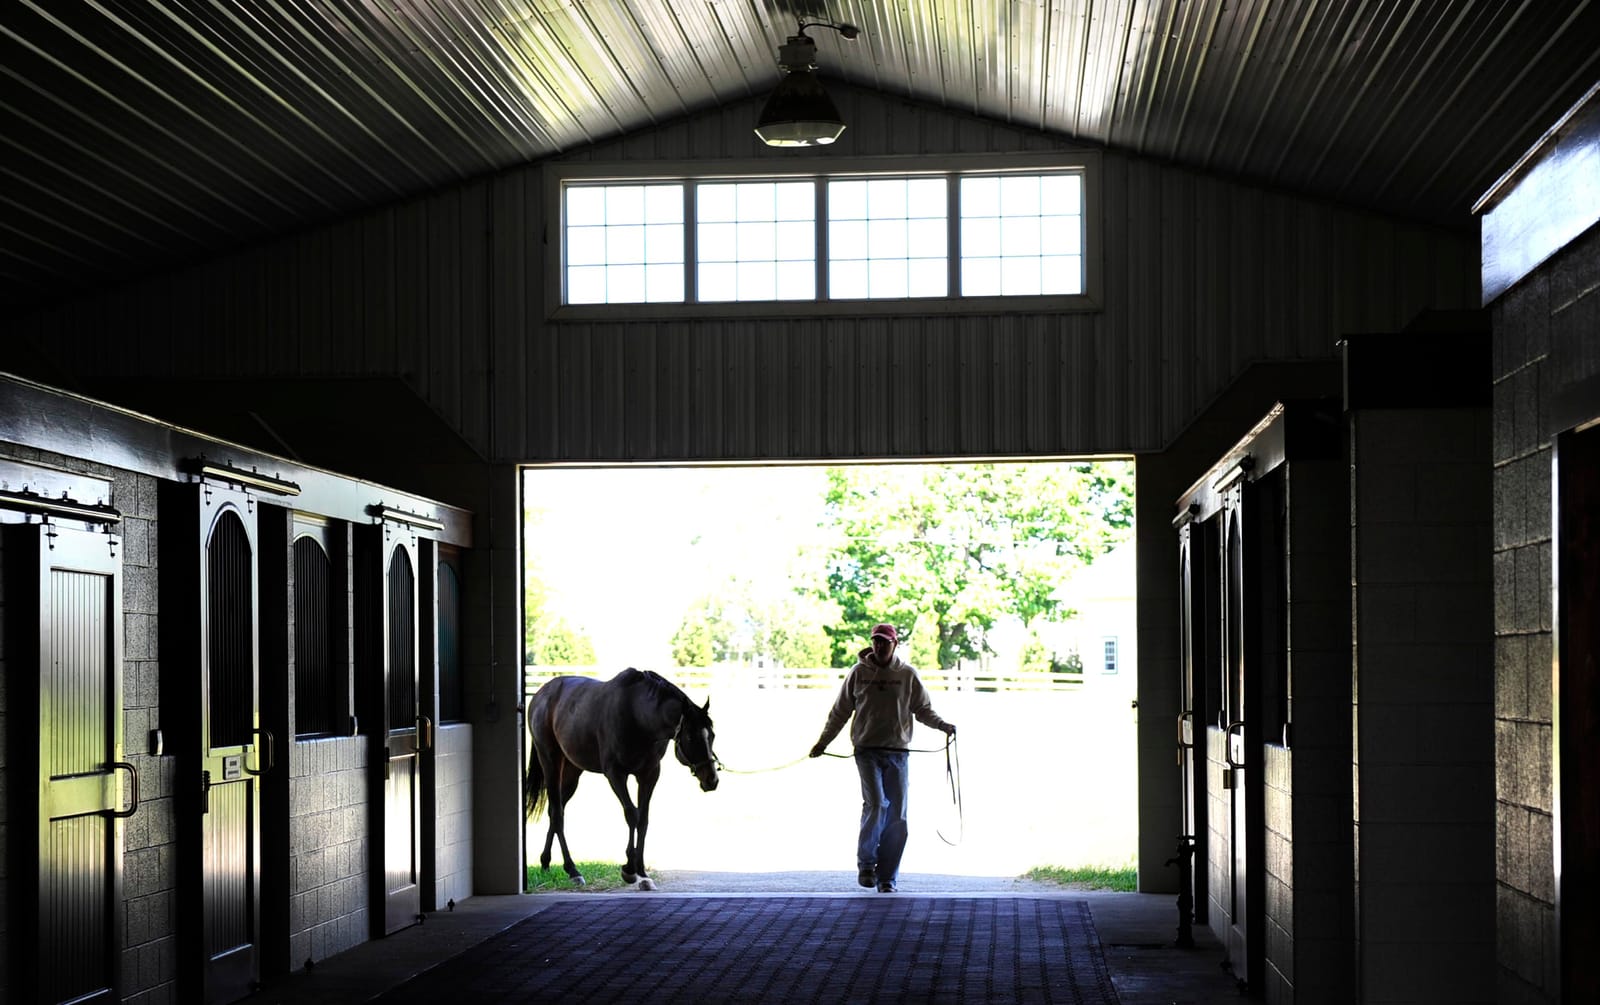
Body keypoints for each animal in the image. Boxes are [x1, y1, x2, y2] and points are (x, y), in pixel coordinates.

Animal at [524, 667, 719, 889]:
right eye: (690, 737)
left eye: (712, 735)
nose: (711, 779)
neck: (638, 717)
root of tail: (540, 695)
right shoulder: (615, 774)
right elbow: (632, 814)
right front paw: (629, 869)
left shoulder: (649, 775)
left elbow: (643, 819)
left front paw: (642, 872)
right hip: (551, 762)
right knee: (557, 813)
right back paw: (572, 870)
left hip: (573, 771)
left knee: (556, 810)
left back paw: (546, 862)